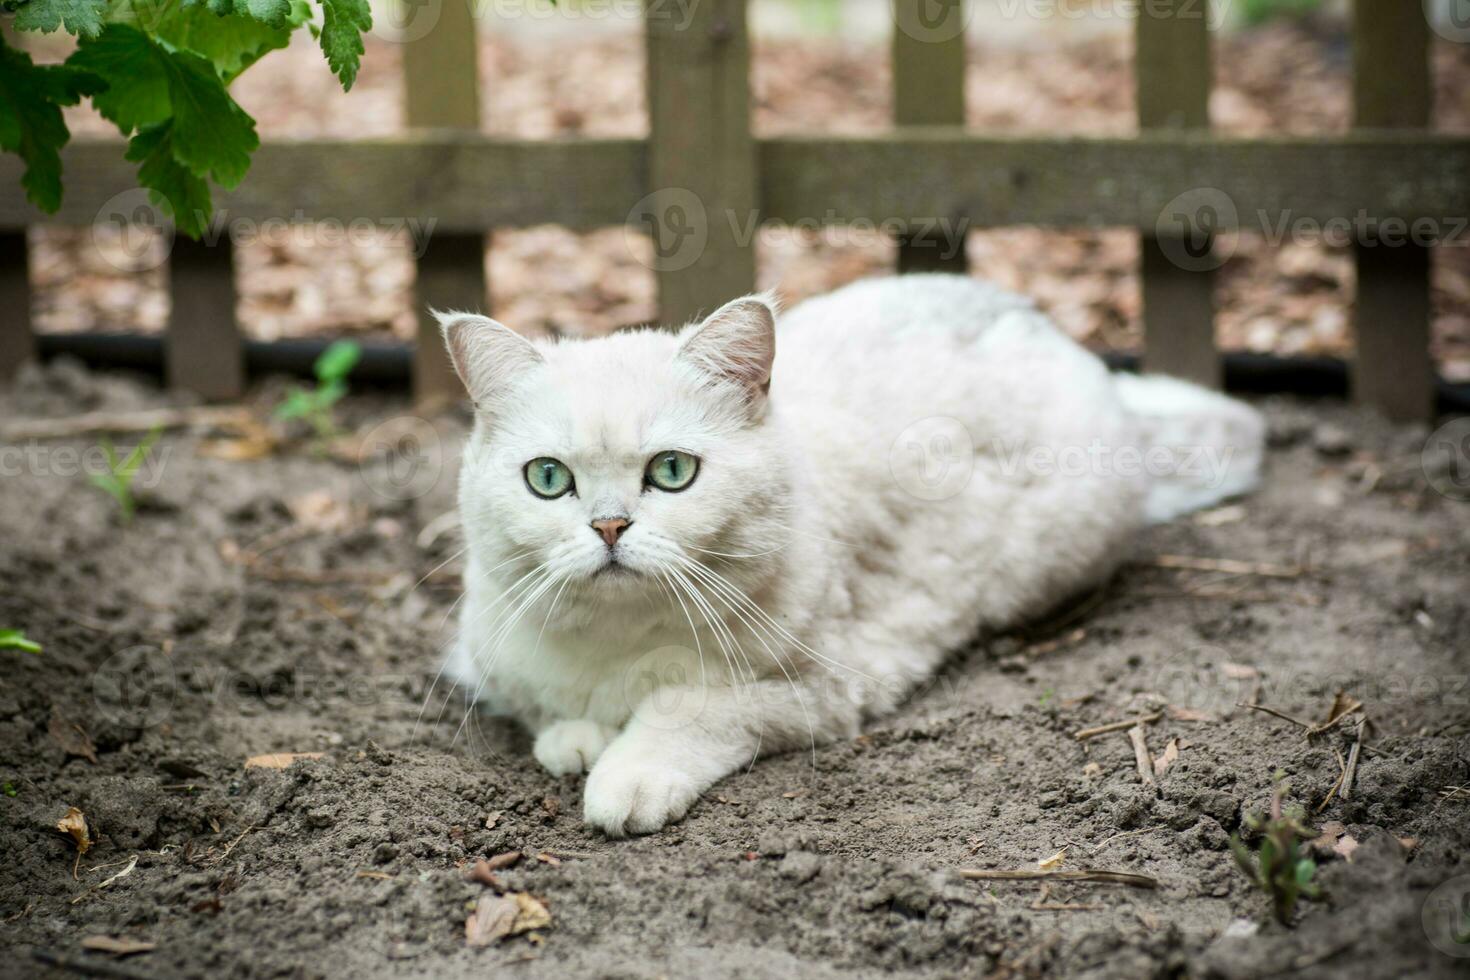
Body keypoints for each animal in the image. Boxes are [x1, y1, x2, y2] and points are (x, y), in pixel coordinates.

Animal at [432, 274, 1264, 834]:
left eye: (671, 471)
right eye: (548, 479)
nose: (608, 526)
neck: (618, 645)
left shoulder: (825, 686)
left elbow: (687, 707)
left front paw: (625, 776)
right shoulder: (494, 657)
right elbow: (549, 714)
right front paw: (574, 739)